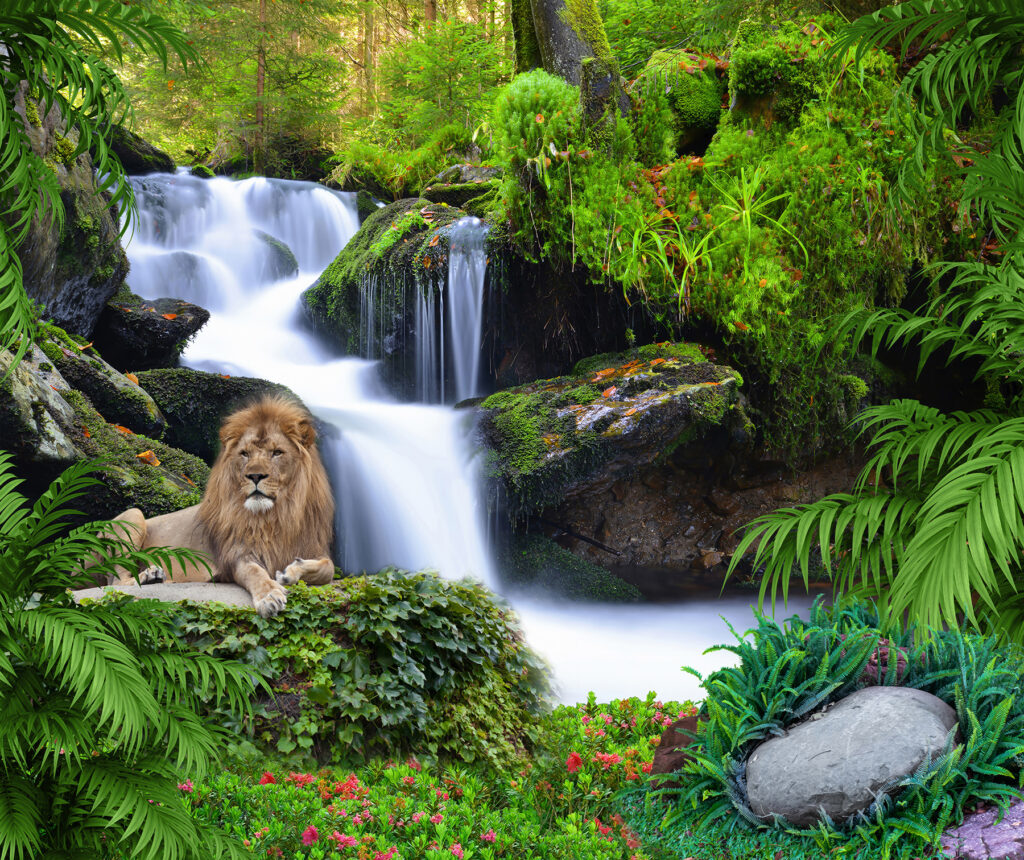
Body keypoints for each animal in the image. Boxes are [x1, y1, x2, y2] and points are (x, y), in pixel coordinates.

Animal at [111, 396, 335, 617]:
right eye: (245, 453)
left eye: (277, 452)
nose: (255, 475)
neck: (274, 515)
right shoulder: (236, 555)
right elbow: (255, 572)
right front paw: (269, 596)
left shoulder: (313, 546)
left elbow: (328, 567)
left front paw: (291, 572)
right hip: (133, 515)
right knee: (116, 581)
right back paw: (151, 576)